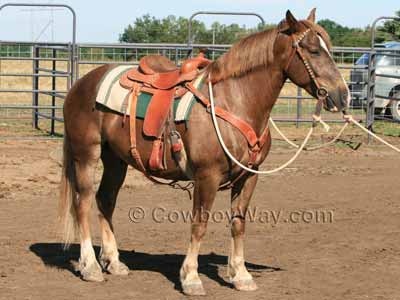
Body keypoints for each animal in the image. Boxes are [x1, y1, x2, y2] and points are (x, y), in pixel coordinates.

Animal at [58, 9, 350, 296]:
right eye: (313, 50)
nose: (343, 95)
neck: (234, 100)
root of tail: (80, 84)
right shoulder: (206, 177)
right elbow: (199, 224)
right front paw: (191, 278)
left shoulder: (249, 176)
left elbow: (238, 223)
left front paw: (241, 275)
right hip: (86, 155)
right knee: (83, 202)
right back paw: (91, 266)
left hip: (115, 160)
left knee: (105, 200)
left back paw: (114, 262)